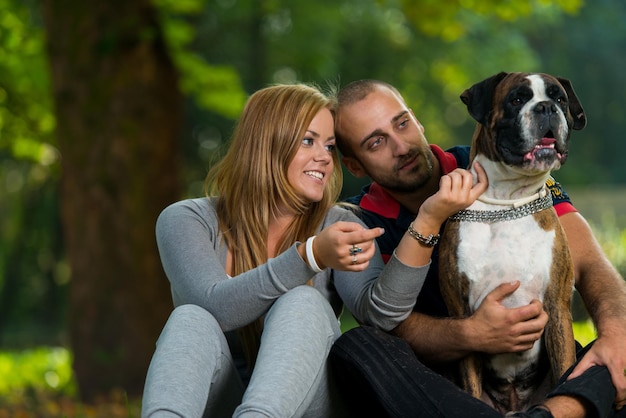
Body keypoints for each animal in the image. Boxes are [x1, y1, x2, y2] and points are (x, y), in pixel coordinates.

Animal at [436, 72, 584, 414]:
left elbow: (565, 371)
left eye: (560, 99)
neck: (506, 203)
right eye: (517, 99)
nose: (545, 108)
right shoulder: (463, 318)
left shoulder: (557, 308)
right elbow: (471, 383)